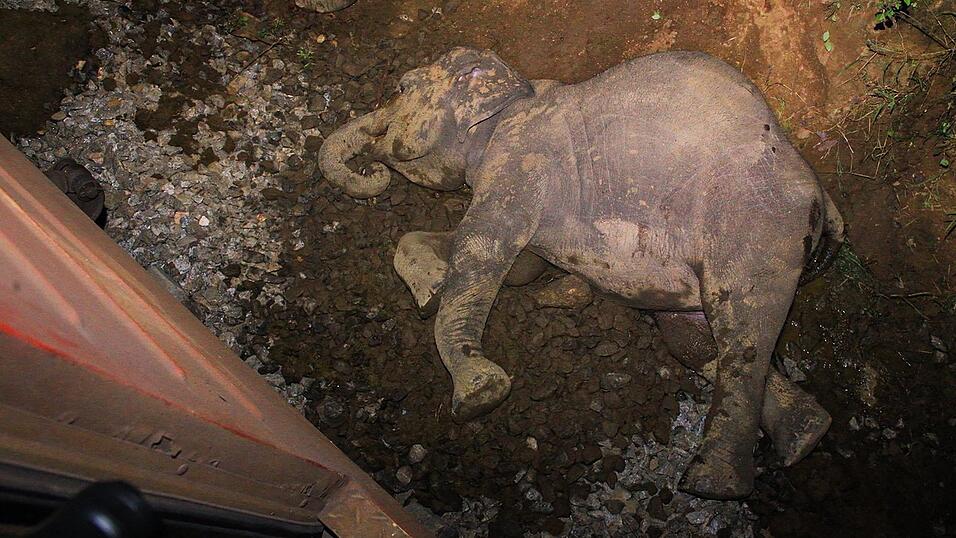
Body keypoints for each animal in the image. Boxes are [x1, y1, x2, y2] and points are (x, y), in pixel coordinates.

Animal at [317, 47, 845, 499]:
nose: (373, 166)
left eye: (401, 88)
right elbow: (520, 263)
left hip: (754, 226)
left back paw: (711, 484)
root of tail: (822, 197)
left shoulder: (523, 153)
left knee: (740, 331)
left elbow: (482, 247)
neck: (514, 93)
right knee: (692, 340)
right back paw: (806, 436)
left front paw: (481, 394)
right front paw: (429, 291)